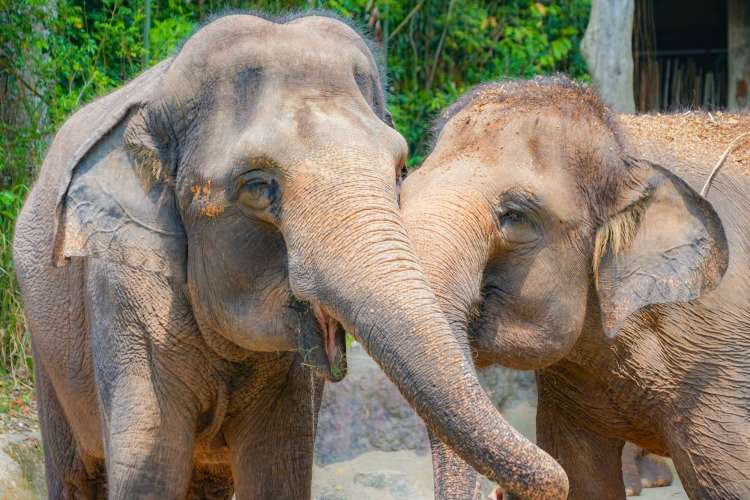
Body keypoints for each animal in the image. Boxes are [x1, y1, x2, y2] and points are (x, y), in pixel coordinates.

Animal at [14, 11, 572, 500]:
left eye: (399, 169)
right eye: (258, 187)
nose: (506, 491)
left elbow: (277, 469)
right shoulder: (123, 290)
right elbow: (148, 474)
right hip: (46, 350)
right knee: (75, 472)